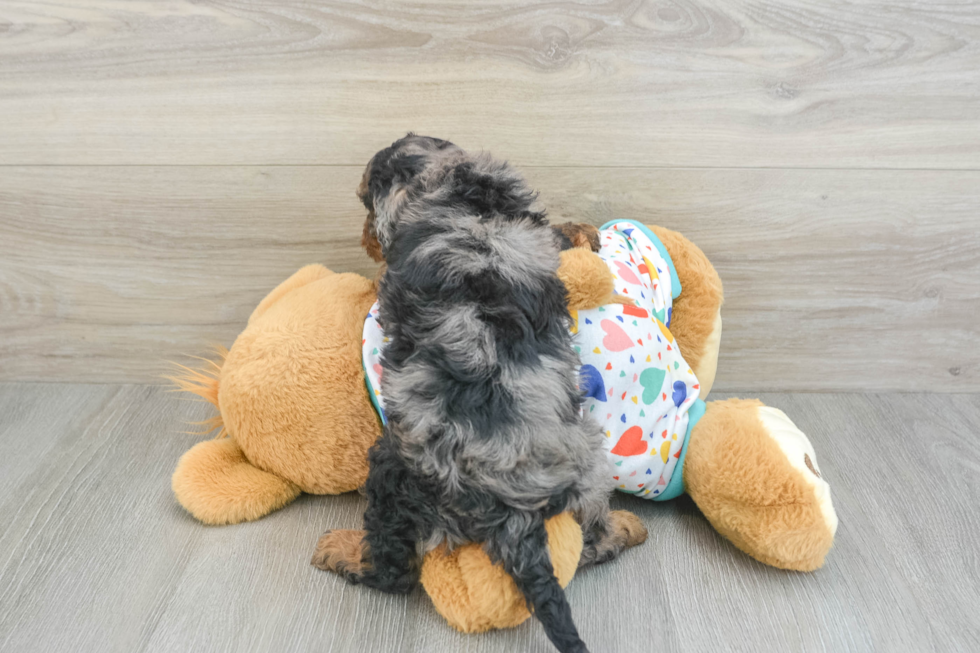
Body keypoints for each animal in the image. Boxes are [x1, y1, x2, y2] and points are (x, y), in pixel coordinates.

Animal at [314, 134, 648, 652]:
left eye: (366, 203)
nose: (365, 238)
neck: (459, 185)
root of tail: (517, 518)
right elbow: (558, 232)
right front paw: (585, 231)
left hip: (394, 472)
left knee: (392, 570)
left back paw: (341, 550)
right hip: (588, 463)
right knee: (593, 540)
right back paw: (628, 527)